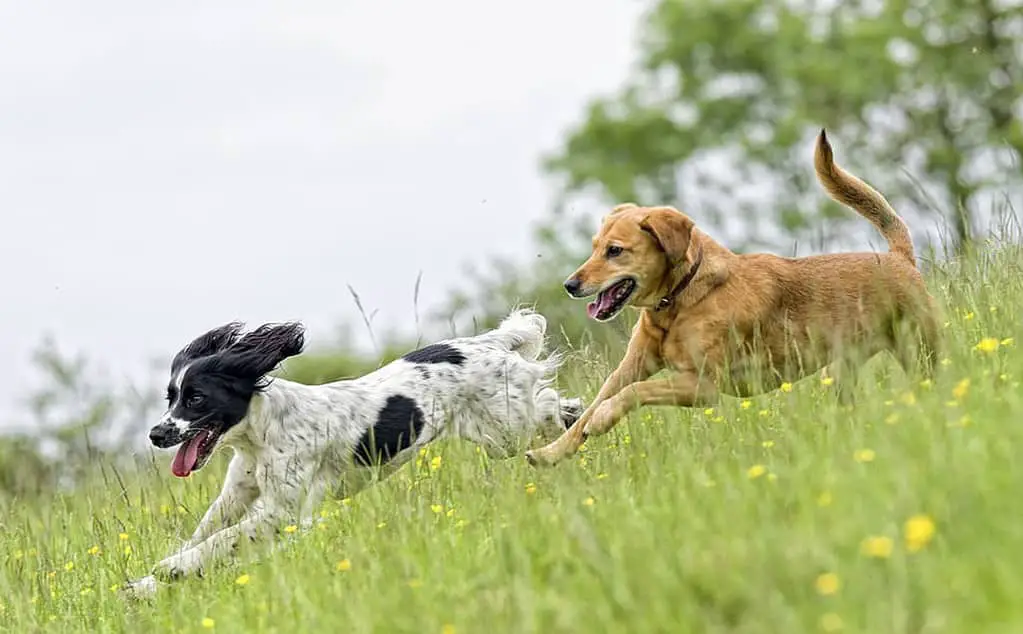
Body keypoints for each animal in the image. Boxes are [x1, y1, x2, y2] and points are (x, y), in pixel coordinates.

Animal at [123, 308, 581, 597]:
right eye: (170, 397)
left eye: (196, 398)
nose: (156, 434)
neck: (260, 435)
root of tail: (492, 342)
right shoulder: (238, 493)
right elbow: (207, 532)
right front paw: (147, 585)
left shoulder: (283, 511)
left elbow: (223, 540)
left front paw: (173, 569)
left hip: (505, 429)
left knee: (549, 404)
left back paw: (569, 429)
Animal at [527, 129, 941, 466]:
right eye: (594, 247)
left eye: (615, 251)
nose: (570, 284)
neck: (679, 299)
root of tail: (898, 257)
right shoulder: (631, 365)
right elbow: (593, 406)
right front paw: (550, 452)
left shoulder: (703, 386)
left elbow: (631, 394)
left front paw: (601, 420)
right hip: (841, 371)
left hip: (920, 350)